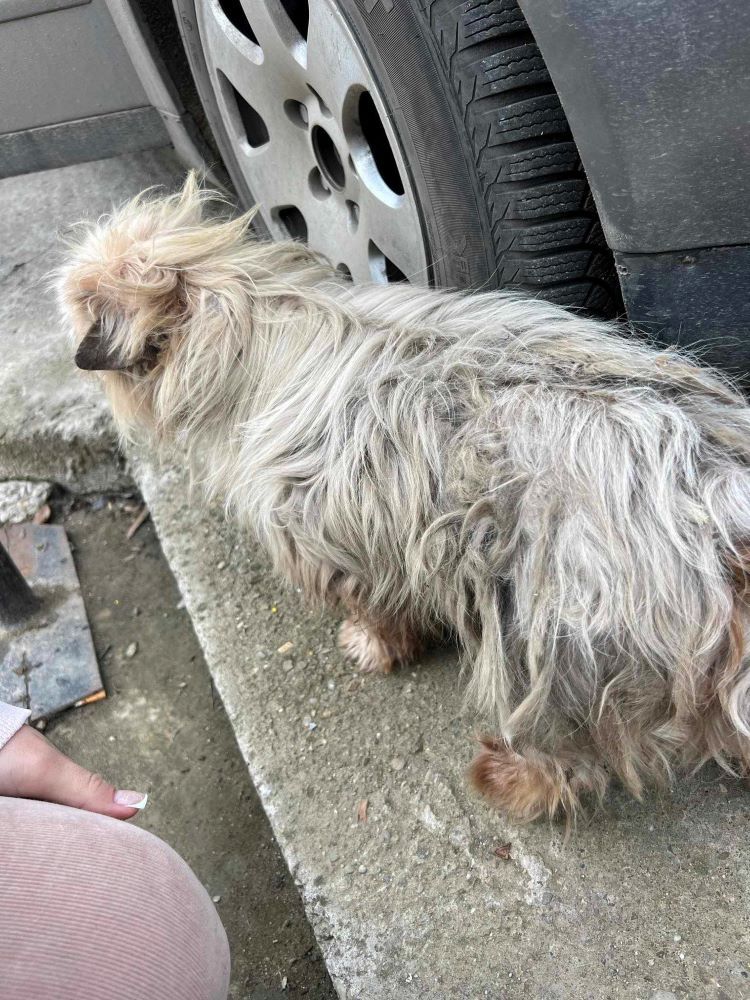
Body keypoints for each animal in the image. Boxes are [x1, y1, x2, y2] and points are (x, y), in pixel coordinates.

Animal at [57, 178, 750, 820]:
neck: (250, 316)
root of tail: (714, 493)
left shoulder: (323, 535)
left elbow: (372, 606)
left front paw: (371, 644)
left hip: (550, 642)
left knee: (566, 754)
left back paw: (511, 776)